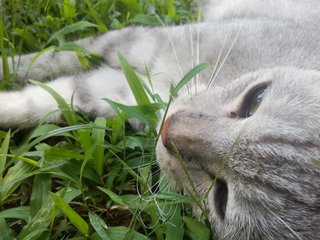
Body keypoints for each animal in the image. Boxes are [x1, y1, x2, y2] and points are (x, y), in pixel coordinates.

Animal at [0, 0, 320, 240]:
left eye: (222, 197)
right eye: (256, 99)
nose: (168, 128)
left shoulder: (112, 89)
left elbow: (48, 97)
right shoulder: (135, 42)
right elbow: (47, 61)